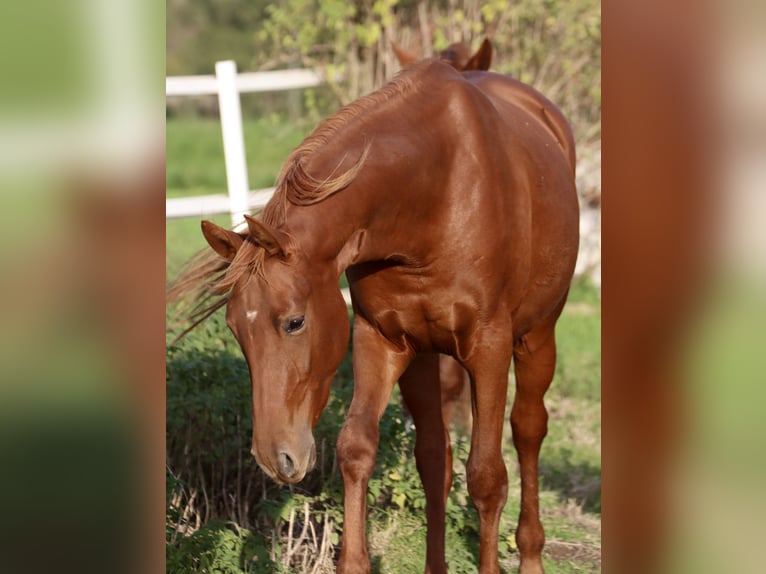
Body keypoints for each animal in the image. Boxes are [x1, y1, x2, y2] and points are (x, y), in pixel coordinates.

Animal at [177, 59, 580, 574]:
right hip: (426, 356)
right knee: (434, 456)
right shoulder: (380, 338)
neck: (434, 192)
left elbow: (487, 477)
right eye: (235, 330)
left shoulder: (488, 347)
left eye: (294, 322)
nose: (274, 458)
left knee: (528, 430)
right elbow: (356, 448)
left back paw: (531, 552)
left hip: (535, 338)